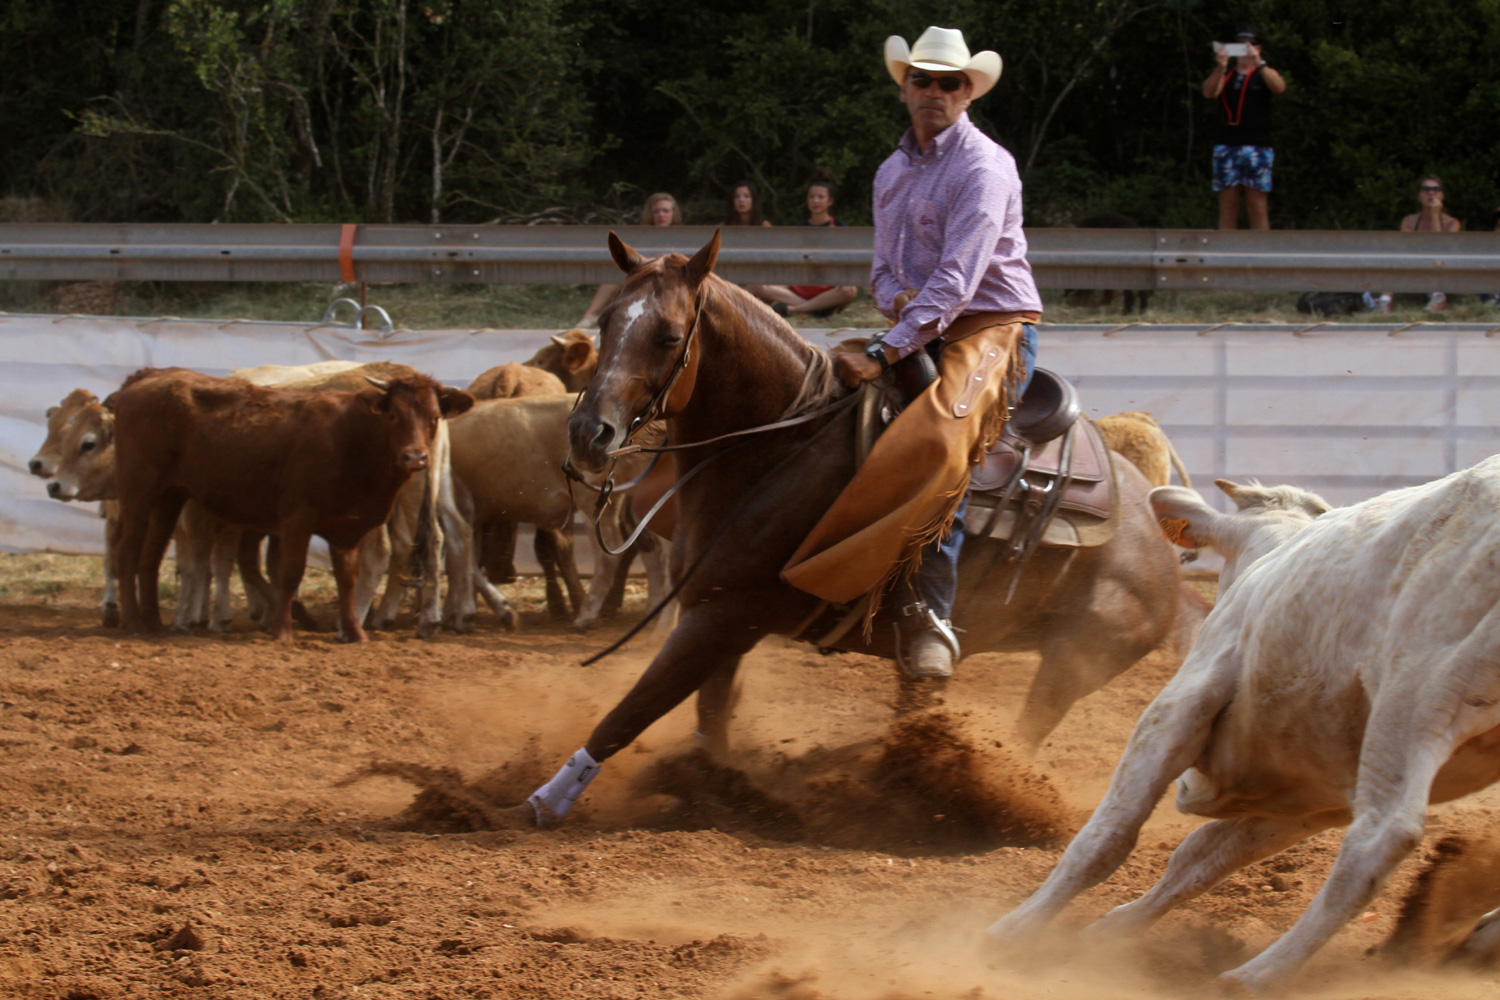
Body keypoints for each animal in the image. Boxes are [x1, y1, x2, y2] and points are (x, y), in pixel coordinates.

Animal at [110, 367, 471, 641]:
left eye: (434, 418)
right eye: (394, 415)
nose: (416, 457)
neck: (350, 437)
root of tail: (147, 377)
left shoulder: (346, 528)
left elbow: (346, 577)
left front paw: (354, 631)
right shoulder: (297, 518)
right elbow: (291, 570)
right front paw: (282, 629)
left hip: (169, 497)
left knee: (150, 556)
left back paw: (153, 623)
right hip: (138, 493)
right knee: (127, 552)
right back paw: (133, 622)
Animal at [522, 232, 1200, 827]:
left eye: (667, 336)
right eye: (608, 324)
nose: (589, 434)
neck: (777, 446)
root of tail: (1154, 523)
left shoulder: (723, 616)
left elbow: (633, 709)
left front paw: (548, 800)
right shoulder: (716, 614)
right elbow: (707, 719)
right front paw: (710, 786)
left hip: (1076, 661)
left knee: (1026, 734)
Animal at [996, 464, 1500, 995]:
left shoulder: (1178, 703)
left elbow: (1107, 835)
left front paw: (1015, 929)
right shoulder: (1312, 798)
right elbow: (1201, 858)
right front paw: (1113, 929)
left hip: (1414, 696)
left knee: (1381, 840)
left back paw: (1257, 974)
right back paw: (1477, 939)